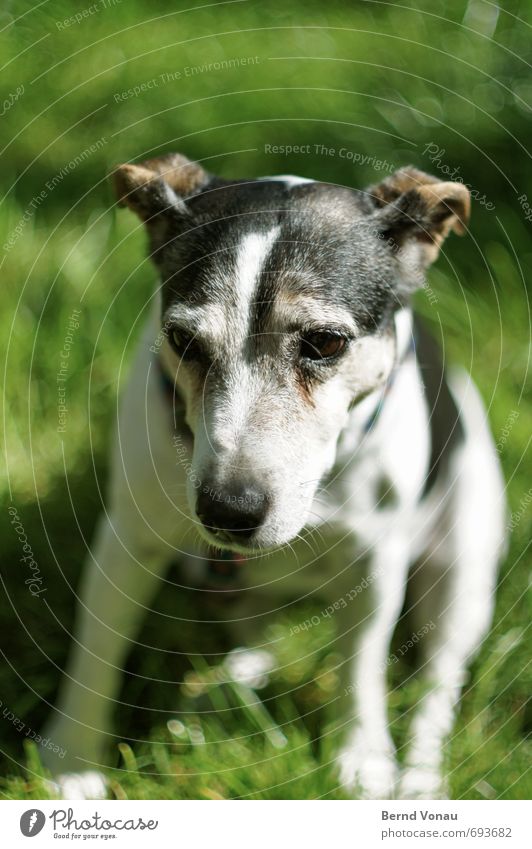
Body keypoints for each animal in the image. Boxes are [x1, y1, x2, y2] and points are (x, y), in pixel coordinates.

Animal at [41, 156, 508, 800]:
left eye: (327, 342)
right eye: (182, 340)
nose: (227, 511)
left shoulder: (376, 560)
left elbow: (360, 666)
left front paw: (361, 759)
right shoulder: (126, 543)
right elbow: (97, 652)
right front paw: (72, 761)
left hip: (462, 575)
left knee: (438, 688)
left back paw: (420, 781)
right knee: (253, 639)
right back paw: (219, 692)